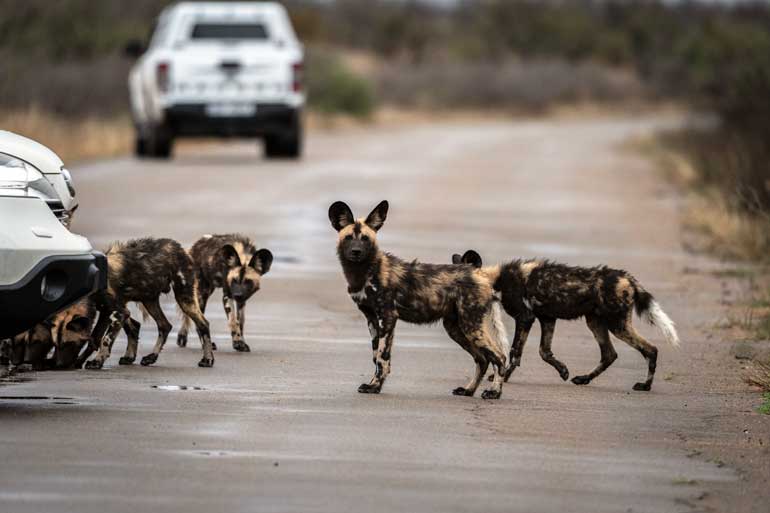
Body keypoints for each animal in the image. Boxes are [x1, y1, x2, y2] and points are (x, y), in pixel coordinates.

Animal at [81, 236, 214, 368]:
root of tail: (180, 248)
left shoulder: (117, 312)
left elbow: (105, 340)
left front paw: (96, 361)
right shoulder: (109, 311)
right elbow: (96, 338)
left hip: (184, 299)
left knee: (203, 324)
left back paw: (207, 359)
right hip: (149, 301)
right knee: (163, 326)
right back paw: (148, 357)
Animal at [328, 202, 508, 398]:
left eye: (365, 239)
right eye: (348, 238)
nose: (356, 251)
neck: (364, 272)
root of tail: (480, 274)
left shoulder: (387, 317)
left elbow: (382, 358)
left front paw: (374, 386)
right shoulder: (373, 319)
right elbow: (376, 356)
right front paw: (374, 385)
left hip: (471, 326)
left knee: (500, 357)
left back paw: (494, 392)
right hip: (456, 328)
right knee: (482, 359)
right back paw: (468, 390)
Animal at [450, 250, 680, 390]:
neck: (495, 279)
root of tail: (628, 278)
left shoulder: (525, 317)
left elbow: (515, 352)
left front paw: (502, 378)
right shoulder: (547, 318)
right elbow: (543, 351)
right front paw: (563, 371)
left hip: (617, 325)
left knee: (650, 349)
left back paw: (645, 386)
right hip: (595, 322)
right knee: (609, 354)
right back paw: (584, 379)